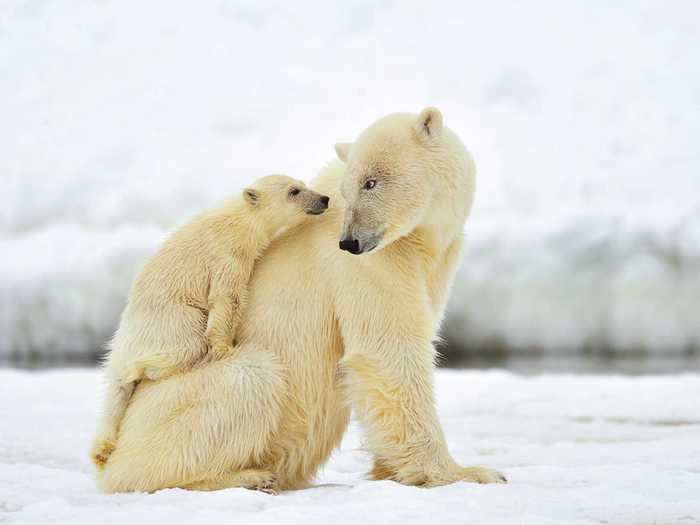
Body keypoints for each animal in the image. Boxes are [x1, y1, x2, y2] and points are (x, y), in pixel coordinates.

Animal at [98, 108, 506, 494]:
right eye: (351, 187)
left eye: (371, 182)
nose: (350, 241)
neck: (422, 239)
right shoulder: (372, 263)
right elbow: (387, 350)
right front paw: (470, 472)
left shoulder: (434, 261)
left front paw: (389, 469)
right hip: (178, 403)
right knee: (250, 379)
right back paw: (247, 476)